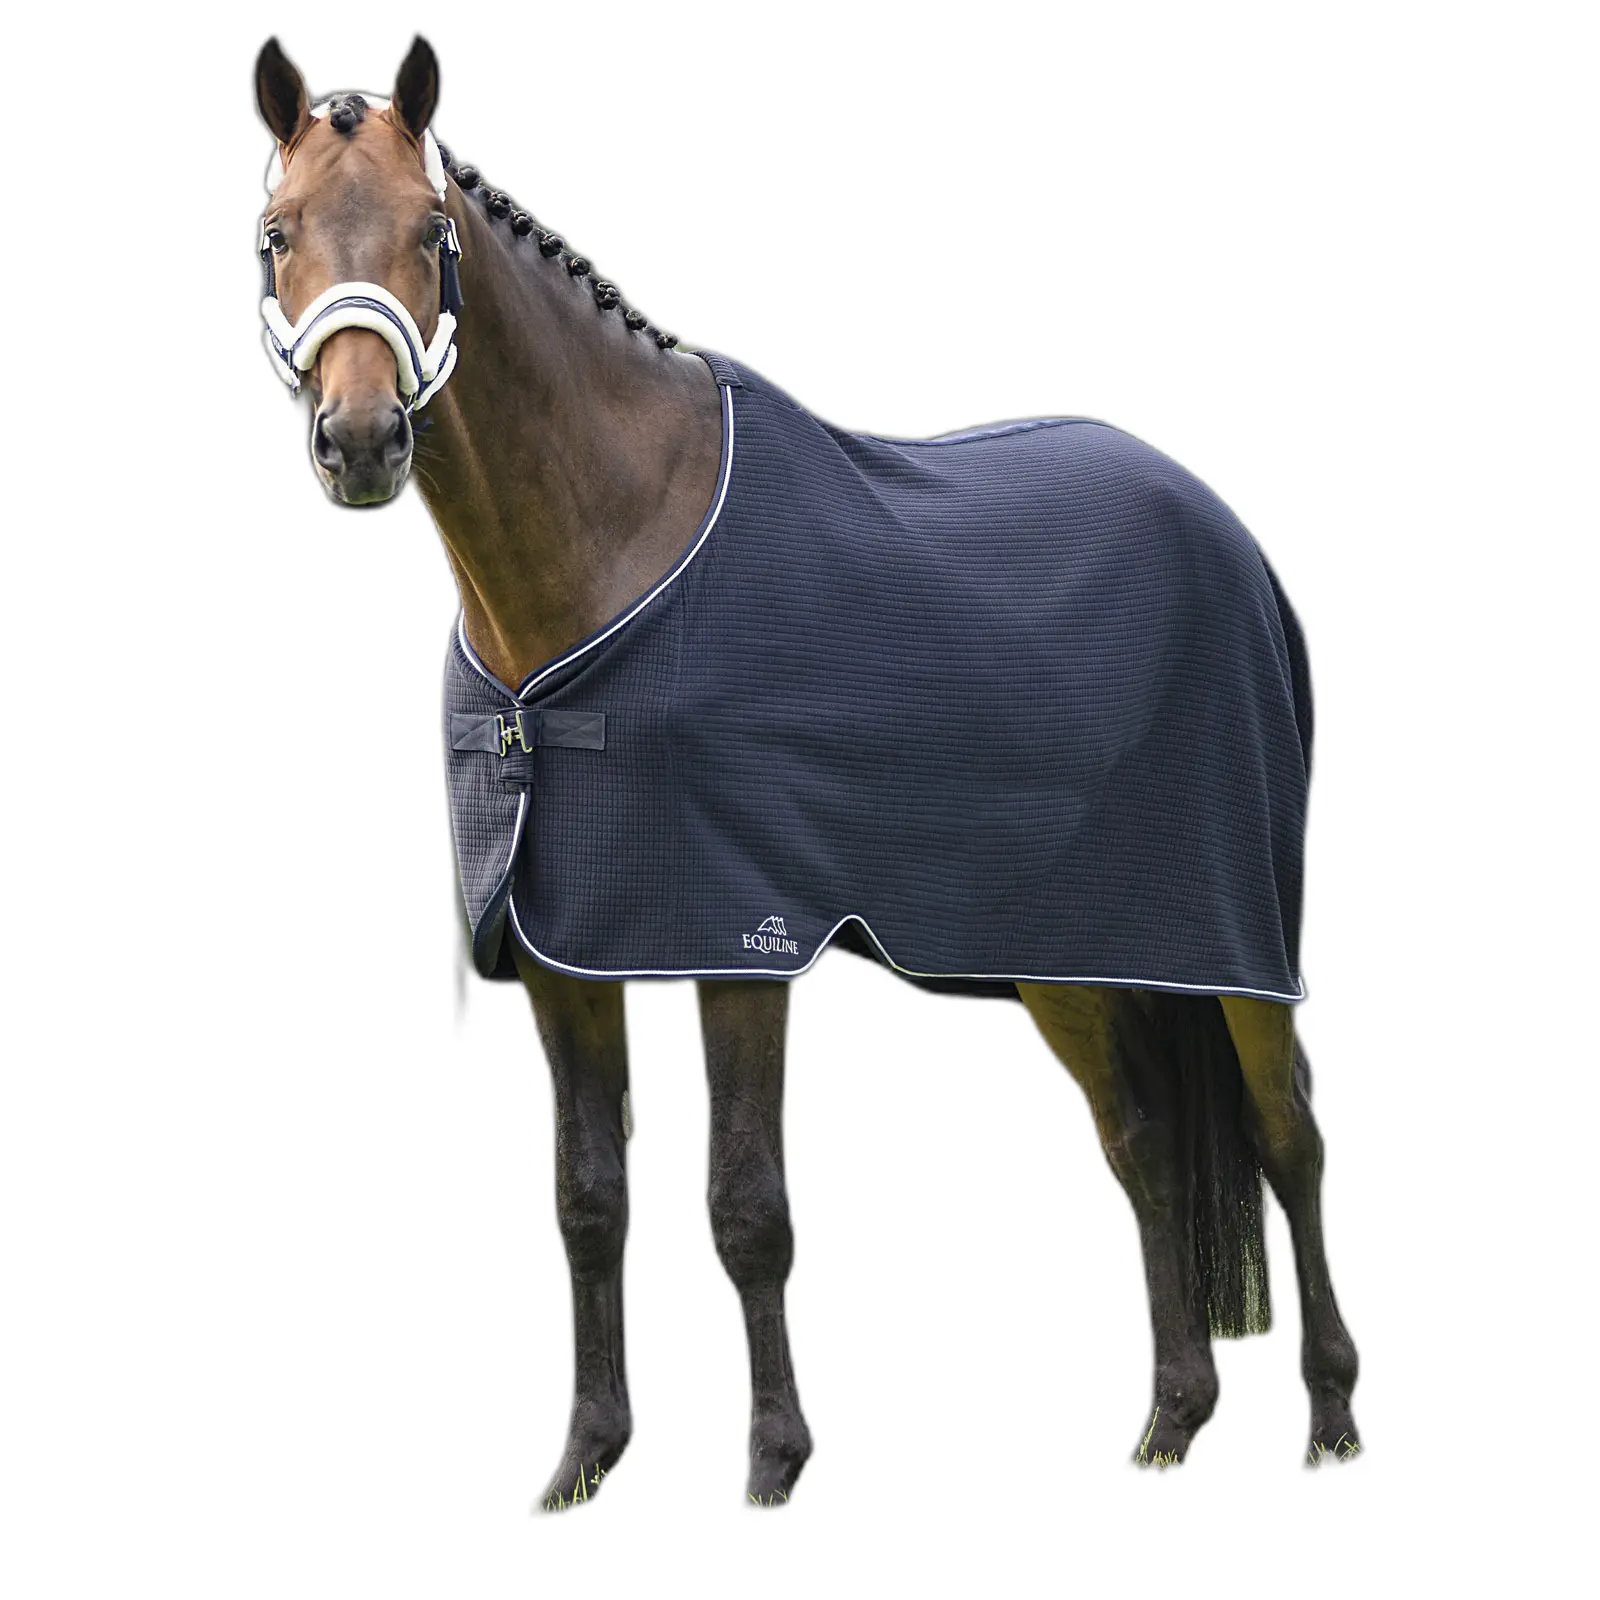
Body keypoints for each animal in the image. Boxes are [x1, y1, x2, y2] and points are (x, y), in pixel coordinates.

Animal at [252, 34, 1360, 1508]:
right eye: (275, 234)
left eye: (433, 233)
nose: (363, 441)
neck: (608, 552)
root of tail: (1226, 532)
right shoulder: (560, 955)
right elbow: (587, 1201)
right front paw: (584, 1463)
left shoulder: (741, 937)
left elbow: (747, 1210)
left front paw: (773, 1466)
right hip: (1073, 953)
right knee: (1143, 1143)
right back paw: (1170, 1424)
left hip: (1231, 943)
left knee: (1288, 1134)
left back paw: (1332, 1416)